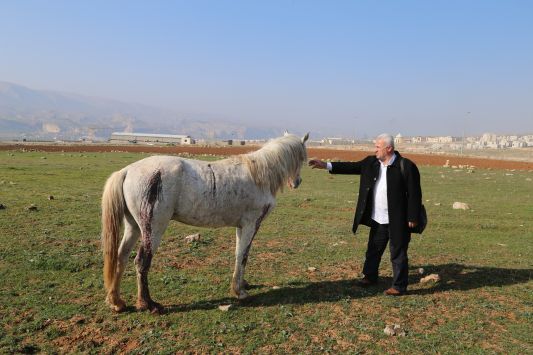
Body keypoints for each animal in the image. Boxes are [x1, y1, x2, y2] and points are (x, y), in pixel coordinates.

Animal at [101, 133, 308, 314]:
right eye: (302, 158)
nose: (297, 182)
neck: (259, 175)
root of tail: (127, 171)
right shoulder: (251, 224)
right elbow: (243, 255)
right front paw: (240, 292)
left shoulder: (241, 226)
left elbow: (238, 254)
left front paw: (241, 284)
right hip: (153, 229)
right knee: (141, 262)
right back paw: (149, 304)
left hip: (134, 227)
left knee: (121, 256)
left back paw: (116, 302)